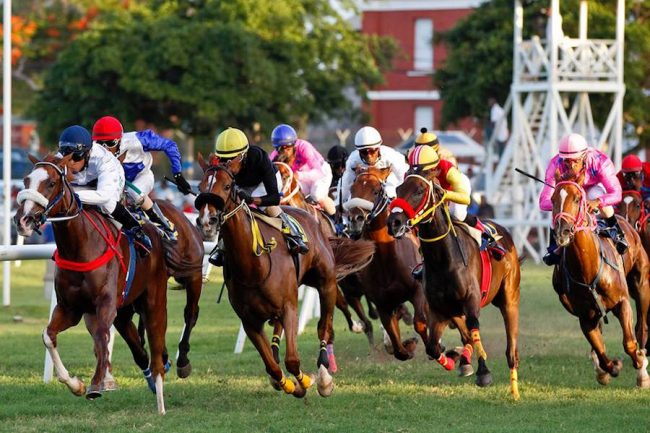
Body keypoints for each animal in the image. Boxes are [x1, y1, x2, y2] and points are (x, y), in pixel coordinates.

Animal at [15, 154, 172, 412]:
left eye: (50, 183)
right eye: (26, 180)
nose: (23, 221)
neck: (80, 247)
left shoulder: (105, 304)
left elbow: (101, 337)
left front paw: (96, 384)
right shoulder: (70, 308)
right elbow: (49, 335)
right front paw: (76, 384)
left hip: (154, 302)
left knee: (157, 349)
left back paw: (160, 402)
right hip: (123, 313)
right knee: (140, 351)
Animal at [195, 157, 372, 396]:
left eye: (227, 186)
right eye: (200, 187)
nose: (207, 221)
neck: (254, 267)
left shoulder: (289, 307)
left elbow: (293, 360)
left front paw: (306, 382)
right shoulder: (249, 321)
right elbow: (272, 367)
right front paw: (288, 385)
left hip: (325, 282)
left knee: (325, 326)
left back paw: (325, 374)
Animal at [342, 165, 428, 358]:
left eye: (375, 191)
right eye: (352, 190)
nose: (355, 219)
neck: (387, 259)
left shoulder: (418, 290)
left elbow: (420, 321)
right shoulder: (382, 304)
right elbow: (398, 348)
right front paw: (407, 345)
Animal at [384, 170, 520, 398]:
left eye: (419, 190)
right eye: (398, 189)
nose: (393, 222)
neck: (444, 259)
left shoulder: (471, 300)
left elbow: (474, 328)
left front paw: (483, 372)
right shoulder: (438, 309)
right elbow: (432, 347)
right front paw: (451, 359)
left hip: (508, 299)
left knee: (511, 349)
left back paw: (514, 388)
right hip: (454, 309)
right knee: (464, 335)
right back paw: (463, 359)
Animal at [548, 170, 648, 386]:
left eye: (577, 199)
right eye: (552, 200)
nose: (563, 231)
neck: (588, 270)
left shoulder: (622, 302)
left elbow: (630, 342)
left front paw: (640, 365)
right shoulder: (586, 317)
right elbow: (601, 352)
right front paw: (611, 368)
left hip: (642, 284)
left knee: (642, 327)